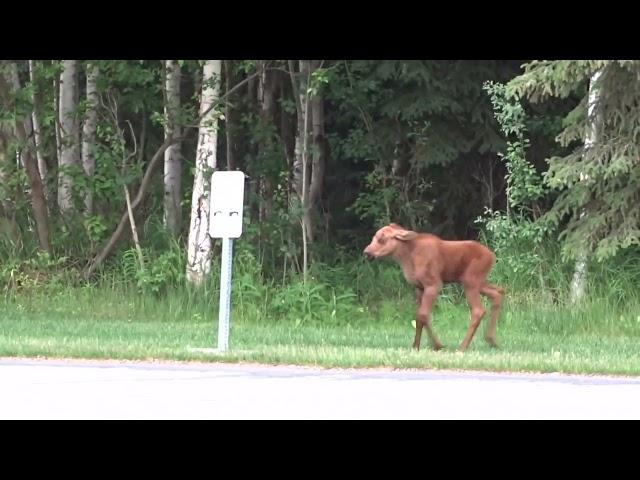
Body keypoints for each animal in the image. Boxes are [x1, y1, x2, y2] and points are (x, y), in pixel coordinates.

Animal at [364, 223, 504, 350]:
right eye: (373, 237)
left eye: (382, 239)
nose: (367, 252)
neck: (406, 258)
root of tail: (492, 256)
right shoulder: (419, 287)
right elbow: (418, 316)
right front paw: (416, 346)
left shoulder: (433, 284)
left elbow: (423, 314)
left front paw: (437, 345)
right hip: (477, 281)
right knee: (498, 292)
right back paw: (491, 340)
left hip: (471, 281)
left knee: (478, 310)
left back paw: (462, 347)